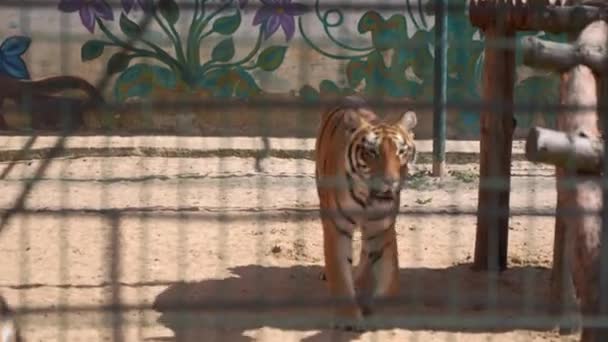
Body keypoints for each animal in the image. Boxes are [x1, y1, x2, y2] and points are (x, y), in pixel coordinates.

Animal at [314, 95, 418, 330]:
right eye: (372, 152)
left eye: (401, 151)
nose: (390, 182)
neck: (366, 199)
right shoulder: (337, 229)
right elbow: (340, 276)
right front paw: (348, 319)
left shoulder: (382, 228)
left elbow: (389, 276)